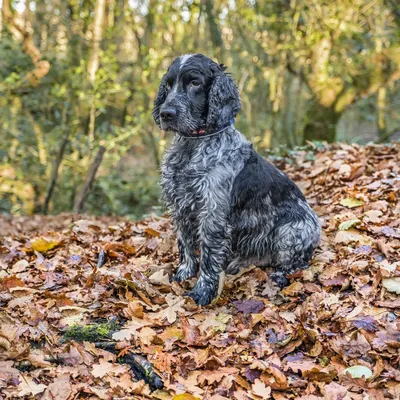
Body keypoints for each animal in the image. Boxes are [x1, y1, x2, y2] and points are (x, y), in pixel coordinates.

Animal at [152, 54, 320, 306]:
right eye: (169, 84)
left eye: (195, 83)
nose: (166, 113)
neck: (193, 146)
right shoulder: (179, 205)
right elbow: (186, 246)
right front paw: (184, 274)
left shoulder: (212, 214)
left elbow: (209, 258)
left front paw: (202, 292)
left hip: (292, 230)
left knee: (297, 263)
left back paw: (280, 276)